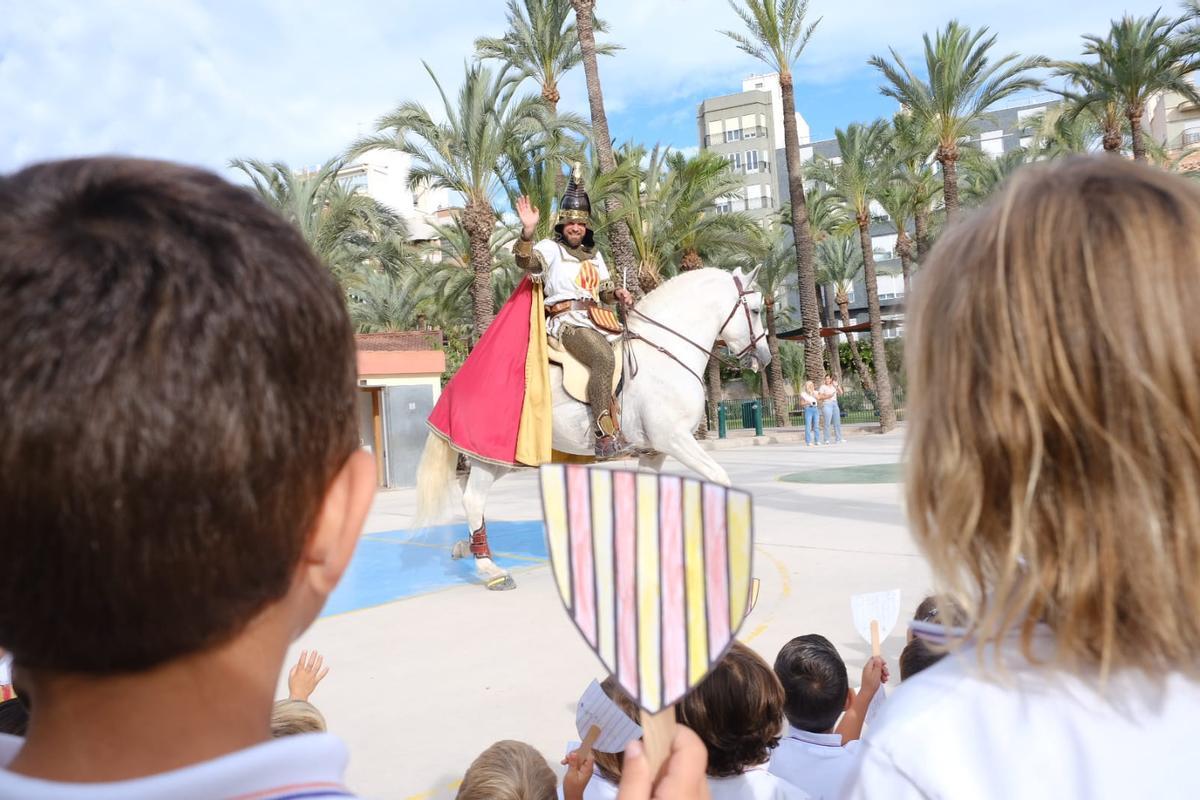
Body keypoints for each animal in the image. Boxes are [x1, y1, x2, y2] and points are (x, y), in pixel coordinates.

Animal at [415, 266, 768, 592]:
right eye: (755, 310)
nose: (763, 358)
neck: (665, 354)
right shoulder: (675, 440)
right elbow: (720, 478)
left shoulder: (653, 452)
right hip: (491, 455)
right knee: (473, 498)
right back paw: (491, 569)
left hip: (502, 459)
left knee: (470, 493)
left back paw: (468, 547)